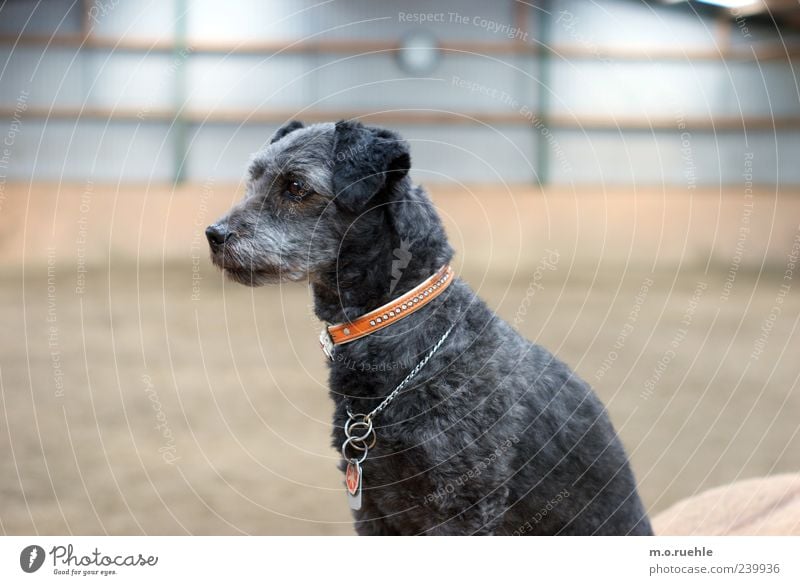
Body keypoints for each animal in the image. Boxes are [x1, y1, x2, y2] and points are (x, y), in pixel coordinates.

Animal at [205, 121, 648, 536]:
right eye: (253, 179)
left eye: (296, 186)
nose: (214, 234)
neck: (400, 325)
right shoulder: (372, 504)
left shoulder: (463, 506)